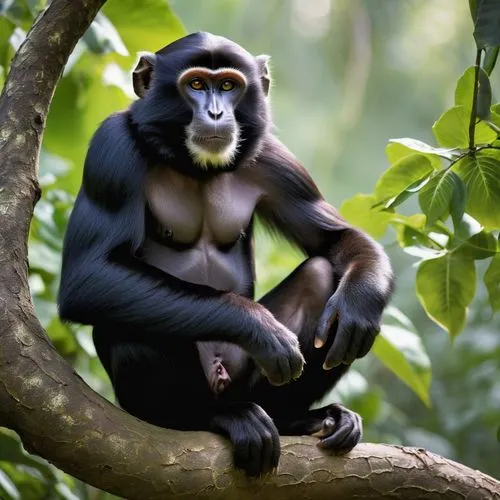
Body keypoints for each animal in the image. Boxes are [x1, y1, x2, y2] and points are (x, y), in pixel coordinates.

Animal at [58, 33, 394, 478]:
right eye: (197, 85)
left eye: (230, 86)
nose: (216, 112)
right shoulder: (110, 150)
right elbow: (89, 274)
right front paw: (259, 327)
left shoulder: (276, 160)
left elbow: (335, 239)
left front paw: (357, 304)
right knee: (128, 328)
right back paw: (214, 418)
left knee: (323, 280)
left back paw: (299, 419)